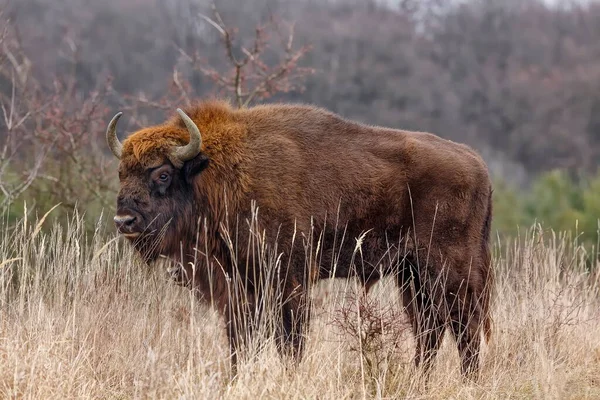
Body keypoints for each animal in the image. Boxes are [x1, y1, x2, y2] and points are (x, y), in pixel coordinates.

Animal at [106, 99, 492, 378]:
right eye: (122, 172)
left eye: (163, 174)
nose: (124, 220)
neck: (217, 173)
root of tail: (478, 165)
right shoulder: (238, 286)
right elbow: (241, 340)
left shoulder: (288, 280)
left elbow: (289, 340)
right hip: (410, 275)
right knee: (430, 328)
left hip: (449, 270)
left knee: (464, 326)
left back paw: (468, 380)